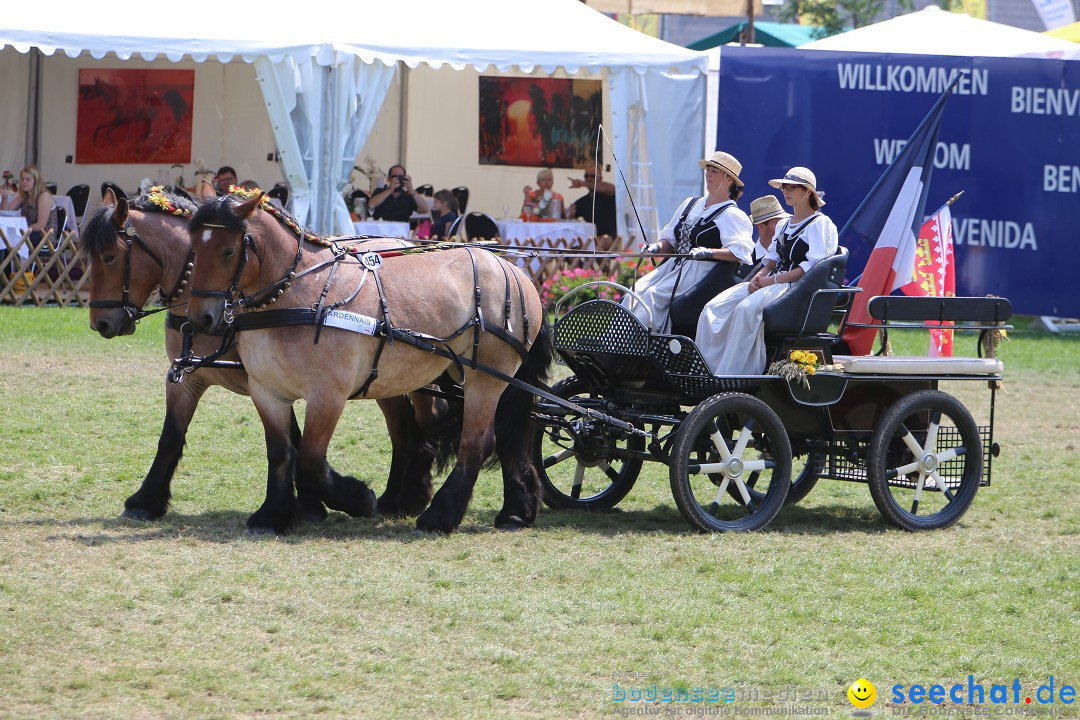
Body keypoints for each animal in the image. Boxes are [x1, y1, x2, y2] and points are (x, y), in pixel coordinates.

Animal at [78, 187, 444, 535]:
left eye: (109, 257)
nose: (101, 324)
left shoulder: (274, 380)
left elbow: (295, 441)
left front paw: (311, 505)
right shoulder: (189, 378)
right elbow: (171, 436)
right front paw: (145, 500)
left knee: (414, 425)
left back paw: (407, 495)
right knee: (404, 428)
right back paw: (401, 496)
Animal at [185, 191, 552, 535]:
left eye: (228, 251)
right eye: (194, 248)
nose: (202, 319)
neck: (299, 292)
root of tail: (515, 272)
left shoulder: (328, 394)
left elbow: (311, 457)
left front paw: (358, 498)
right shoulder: (267, 391)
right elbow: (280, 452)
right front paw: (271, 515)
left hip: (485, 378)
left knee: (477, 441)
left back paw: (439, 516)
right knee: (503, 436)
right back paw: (515, 511)